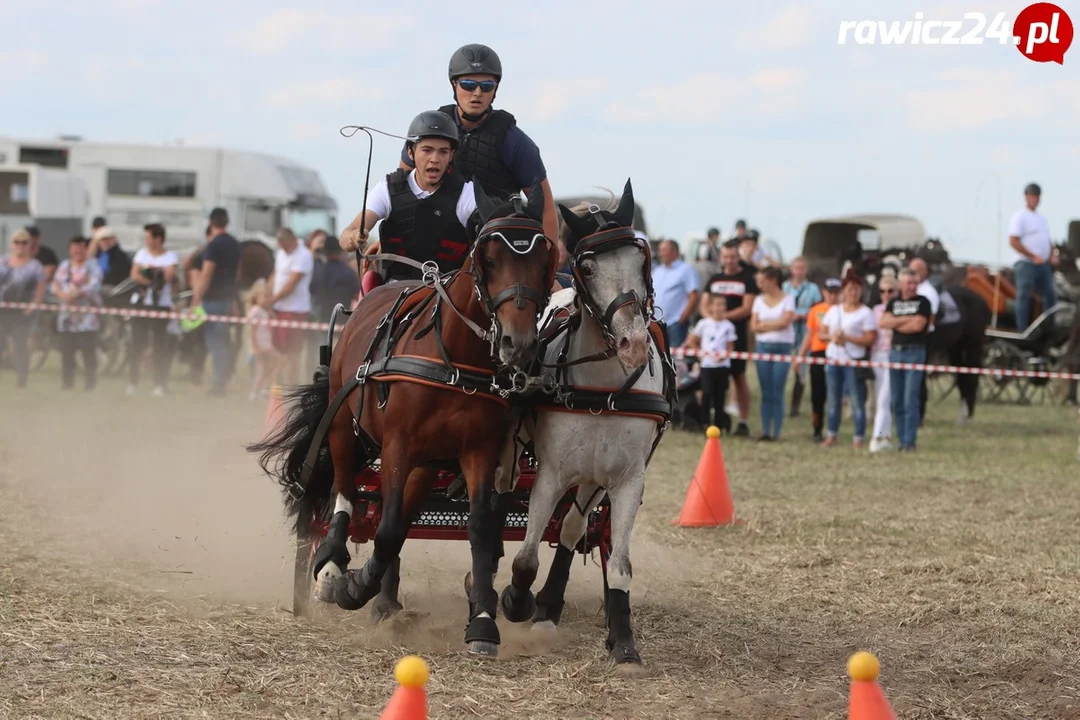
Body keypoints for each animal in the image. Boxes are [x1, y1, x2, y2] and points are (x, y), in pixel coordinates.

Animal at [249, 181, 557, 660]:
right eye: (488, 259)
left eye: (544, 262)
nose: (517, 343)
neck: (453, 358)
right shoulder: (398, 443)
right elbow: (388, 526)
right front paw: (353, 586)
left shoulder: (478, 450)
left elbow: (478, 528)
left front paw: (483, 622)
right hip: (344, 424)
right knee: (343, 490)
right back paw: (331, 567)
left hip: (426, 461)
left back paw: (383, 597)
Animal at [496, 181, 673, 669]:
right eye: (588, 266)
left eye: (640, 259)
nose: (633, 344)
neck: (603, 389)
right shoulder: (551, 475)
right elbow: (525, 556)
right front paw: (515, 601)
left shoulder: (627, 480)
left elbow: (619, 564)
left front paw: (624, 640)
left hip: (594, 478)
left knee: (574, 529)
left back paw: (550, 607)